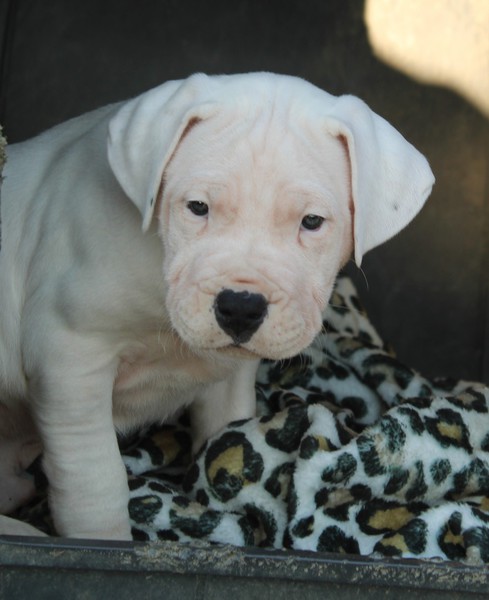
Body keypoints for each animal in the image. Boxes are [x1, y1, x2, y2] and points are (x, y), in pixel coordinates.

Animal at [0, 72, 434, 540]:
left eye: (312, 222)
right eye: (197, 207)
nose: (241, 307)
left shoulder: (228, 375)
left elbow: (226, 430)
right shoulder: (71, 359)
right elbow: (94, 481)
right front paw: (104, 541)